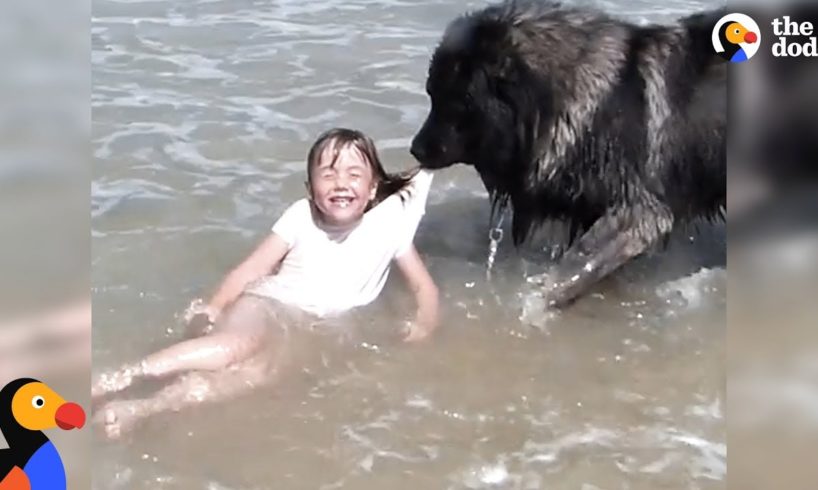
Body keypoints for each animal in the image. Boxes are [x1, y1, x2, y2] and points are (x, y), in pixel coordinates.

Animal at [412, 0, 724, 308]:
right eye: (431, 94)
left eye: (454, 101)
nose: (414, 149)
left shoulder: (639, 214)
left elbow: (569, 272)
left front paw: (536, 303)